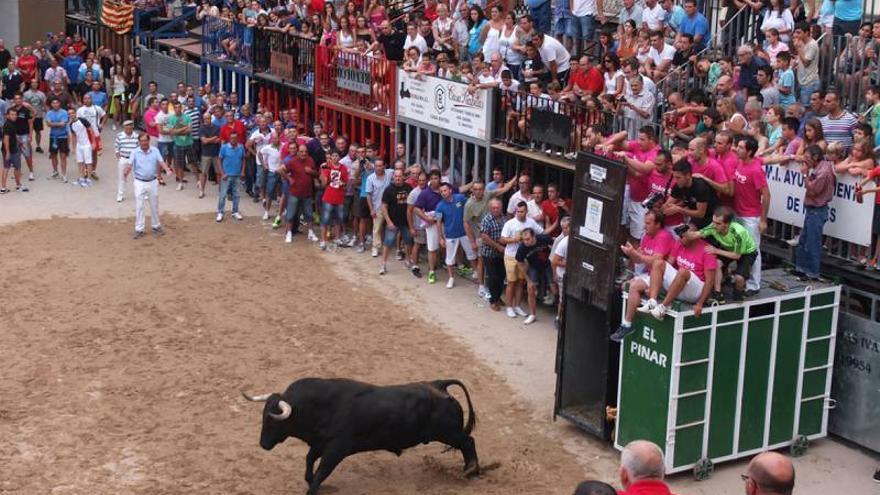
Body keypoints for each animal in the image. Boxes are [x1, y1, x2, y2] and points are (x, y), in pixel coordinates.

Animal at [242, 378, 482, 494]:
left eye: (271, 420)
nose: (263, 444)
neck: (318, 405)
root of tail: (439, 385)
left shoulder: (336, 449)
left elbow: (321, 471)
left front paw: (314, 488)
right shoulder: (320, 442)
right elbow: (310, 461)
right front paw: (312, 481)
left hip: (449, 433)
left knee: (468, 442)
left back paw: (471, 471)